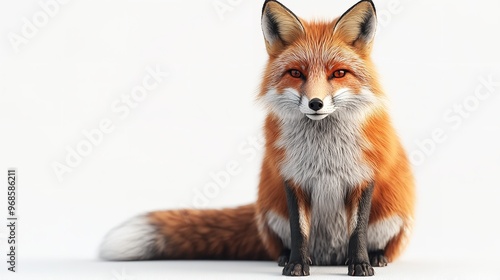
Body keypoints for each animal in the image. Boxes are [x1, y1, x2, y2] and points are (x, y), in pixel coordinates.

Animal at [99, 0, 416, 276]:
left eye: (338, 73)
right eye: (296, 73)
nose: (315, 103)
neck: (323, 153)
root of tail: (330, 257)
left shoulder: (363, 176)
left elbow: (357, 231)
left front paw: (361, 265)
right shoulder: (293, 177)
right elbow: (299, 231)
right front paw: (296, 265)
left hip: (391, 215)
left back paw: (377, 256)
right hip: (272, 213)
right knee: (284, 242)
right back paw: (285, 257)